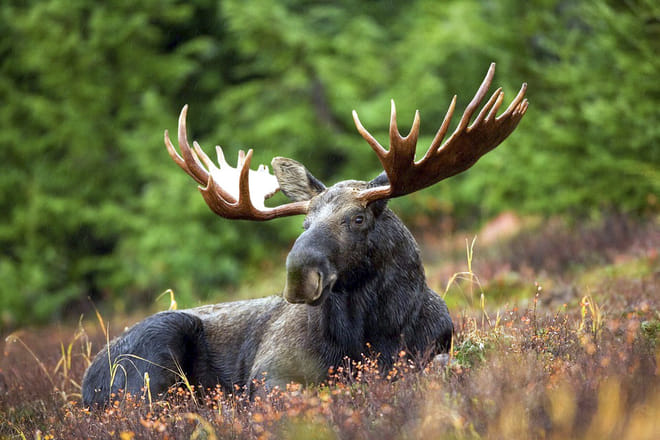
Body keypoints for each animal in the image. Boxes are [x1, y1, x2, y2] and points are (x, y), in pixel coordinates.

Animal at [82, 63, 528, 406]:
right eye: (304, 223)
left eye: (357, 219)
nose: (299, 275)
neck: (375, 332)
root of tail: (86, 384)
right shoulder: (270, 372)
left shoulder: (434, 349)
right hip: (153, 353)